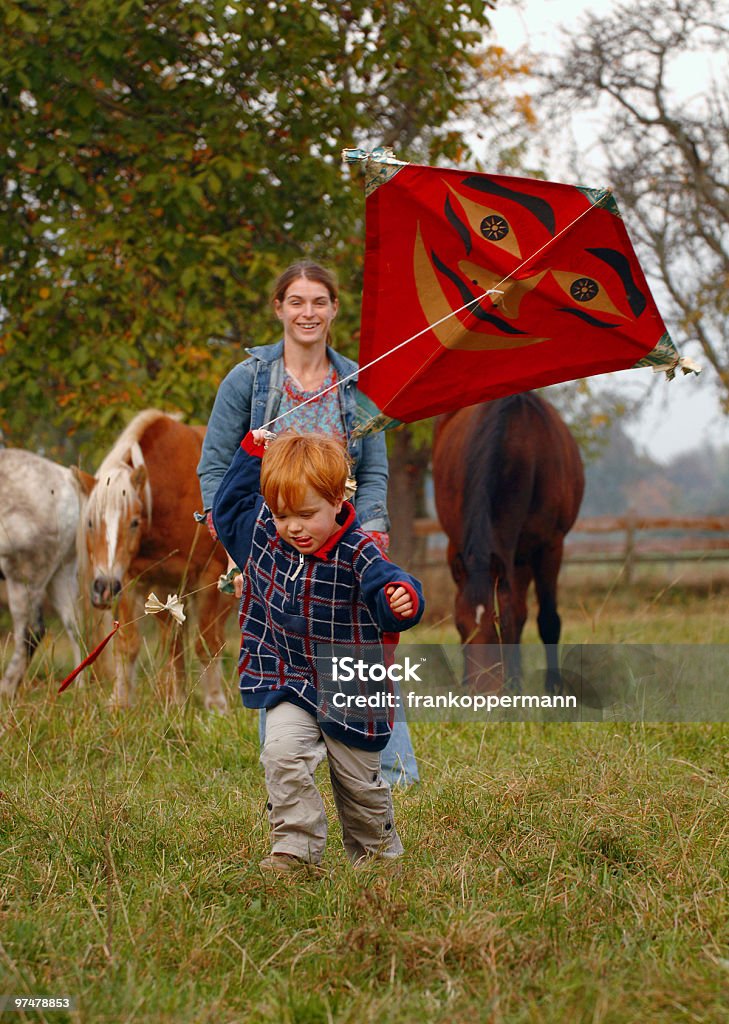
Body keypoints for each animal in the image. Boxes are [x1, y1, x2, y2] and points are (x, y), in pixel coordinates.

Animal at [0, 448, 87, 696]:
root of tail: (67, 481)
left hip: (25, 577)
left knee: (31, 632)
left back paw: (6, 689)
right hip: (61, 574)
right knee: (75, 626)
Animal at [79, 407, 229, 712]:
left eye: (134, 522)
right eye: (90, 523)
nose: (104, 587)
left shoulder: (209, 578)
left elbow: (206, 644)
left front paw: (216, 705)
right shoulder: (131, 580)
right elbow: (129, 644)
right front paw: (121, 702)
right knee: (174, 643)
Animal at [436, 395, 585, 692]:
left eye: (498, 624)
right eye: (459, 625)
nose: (481, 692)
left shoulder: (550, 547)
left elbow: (546, 619)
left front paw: (553, 687)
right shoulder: (458, 547)